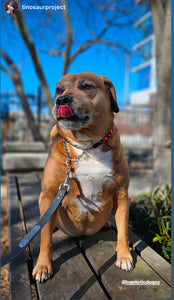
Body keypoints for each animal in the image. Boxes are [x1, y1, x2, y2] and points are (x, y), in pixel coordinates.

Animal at [32, 72, 133, 282]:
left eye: (87, 86)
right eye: (59, 90)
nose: (61, 100)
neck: (87, 146)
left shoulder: (122, 194)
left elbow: (123, 231)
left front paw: (124, 255)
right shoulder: (49, 195)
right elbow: (45, 238)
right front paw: (43, 265)